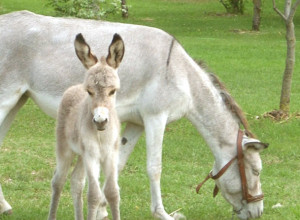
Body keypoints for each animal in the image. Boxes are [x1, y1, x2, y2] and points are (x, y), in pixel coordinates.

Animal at [48, 33, 124, 220]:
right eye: (89, 91)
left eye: (113, 91)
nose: (100, 121)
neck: (102, 135)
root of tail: (74, 87)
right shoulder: (92, 155)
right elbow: (94, 195)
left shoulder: (111, 155)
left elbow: (112, 192)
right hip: (65, 149)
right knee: (58, 181)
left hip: (82, 155)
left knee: (76, 181)